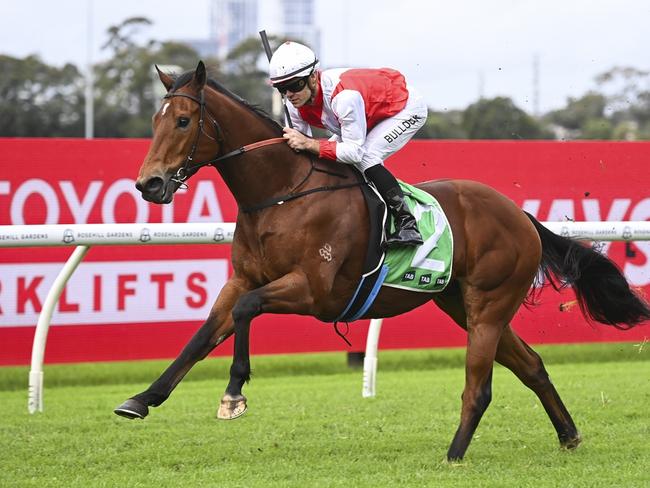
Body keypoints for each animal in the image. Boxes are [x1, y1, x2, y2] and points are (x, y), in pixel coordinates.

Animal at [114, 62, 644, 462]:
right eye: (156, 121)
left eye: (184, 121)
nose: (149, 184)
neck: (282, 193)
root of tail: (520, 215)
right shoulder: (243, 278)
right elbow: (203, 335)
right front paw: (141, 399)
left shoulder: (313, 289)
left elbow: (247, 311)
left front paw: (234, 393)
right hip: (461, 303)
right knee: (531, 365)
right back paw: (568, 434)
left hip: (489, 305)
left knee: (480, 386)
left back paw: (454, 454)